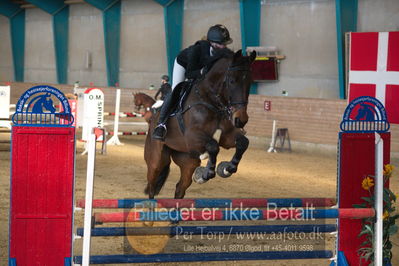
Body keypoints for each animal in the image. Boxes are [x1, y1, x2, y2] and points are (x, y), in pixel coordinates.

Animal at [144, 49, 256, 200]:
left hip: (187, 160)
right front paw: (206, 173)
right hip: (156, 160)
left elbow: (243, 143)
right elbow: (213, 146)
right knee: (152, 185)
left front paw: (227, 168)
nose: (241, 120)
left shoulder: (227, 137)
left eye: (250, 82)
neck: (212, 103)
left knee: (180, 188)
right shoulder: (192, 137)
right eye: (232, 81)